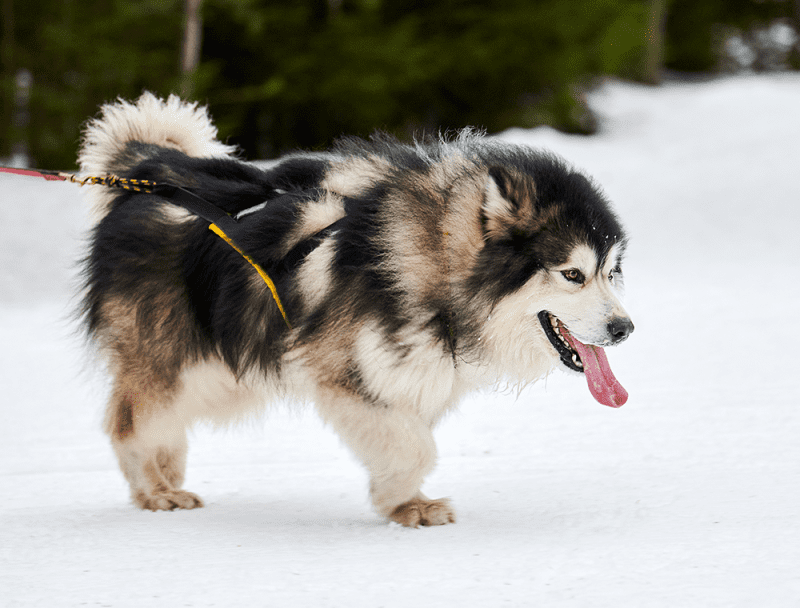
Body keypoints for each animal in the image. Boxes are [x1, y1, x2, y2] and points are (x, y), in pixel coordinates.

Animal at [79, 91, 632, 528]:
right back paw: (155, 489)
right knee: (129, 421)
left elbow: (408, 438)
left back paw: (167, 473)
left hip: (219, 369)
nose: (624, 328)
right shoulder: (343, 372)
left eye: (611, 271)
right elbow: (415, 445)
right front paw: (404, 501)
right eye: (573, 274)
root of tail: (145, 177)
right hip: (174, 356)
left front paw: (403, 502)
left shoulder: (412, 375)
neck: (428, 261)